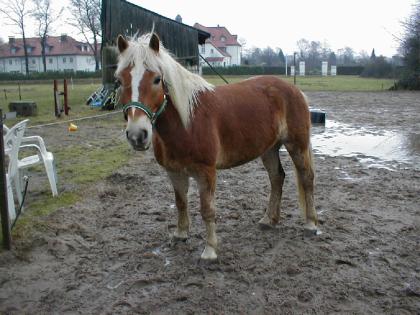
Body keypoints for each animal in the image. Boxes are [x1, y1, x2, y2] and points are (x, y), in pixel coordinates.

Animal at [115, 32, 318, 260]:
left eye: (157, 79)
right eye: (119, 80)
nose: (137, 135)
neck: (187, 121)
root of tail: (294, 90)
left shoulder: (206, 172)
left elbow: (207, 209)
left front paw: (210, 250)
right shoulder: (174, 172)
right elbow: (181, 203)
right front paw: (180, 234)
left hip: (297, 145)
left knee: (306, 178)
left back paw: (311, 224)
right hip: (269, 149)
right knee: (277, 178)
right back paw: (268, 220)